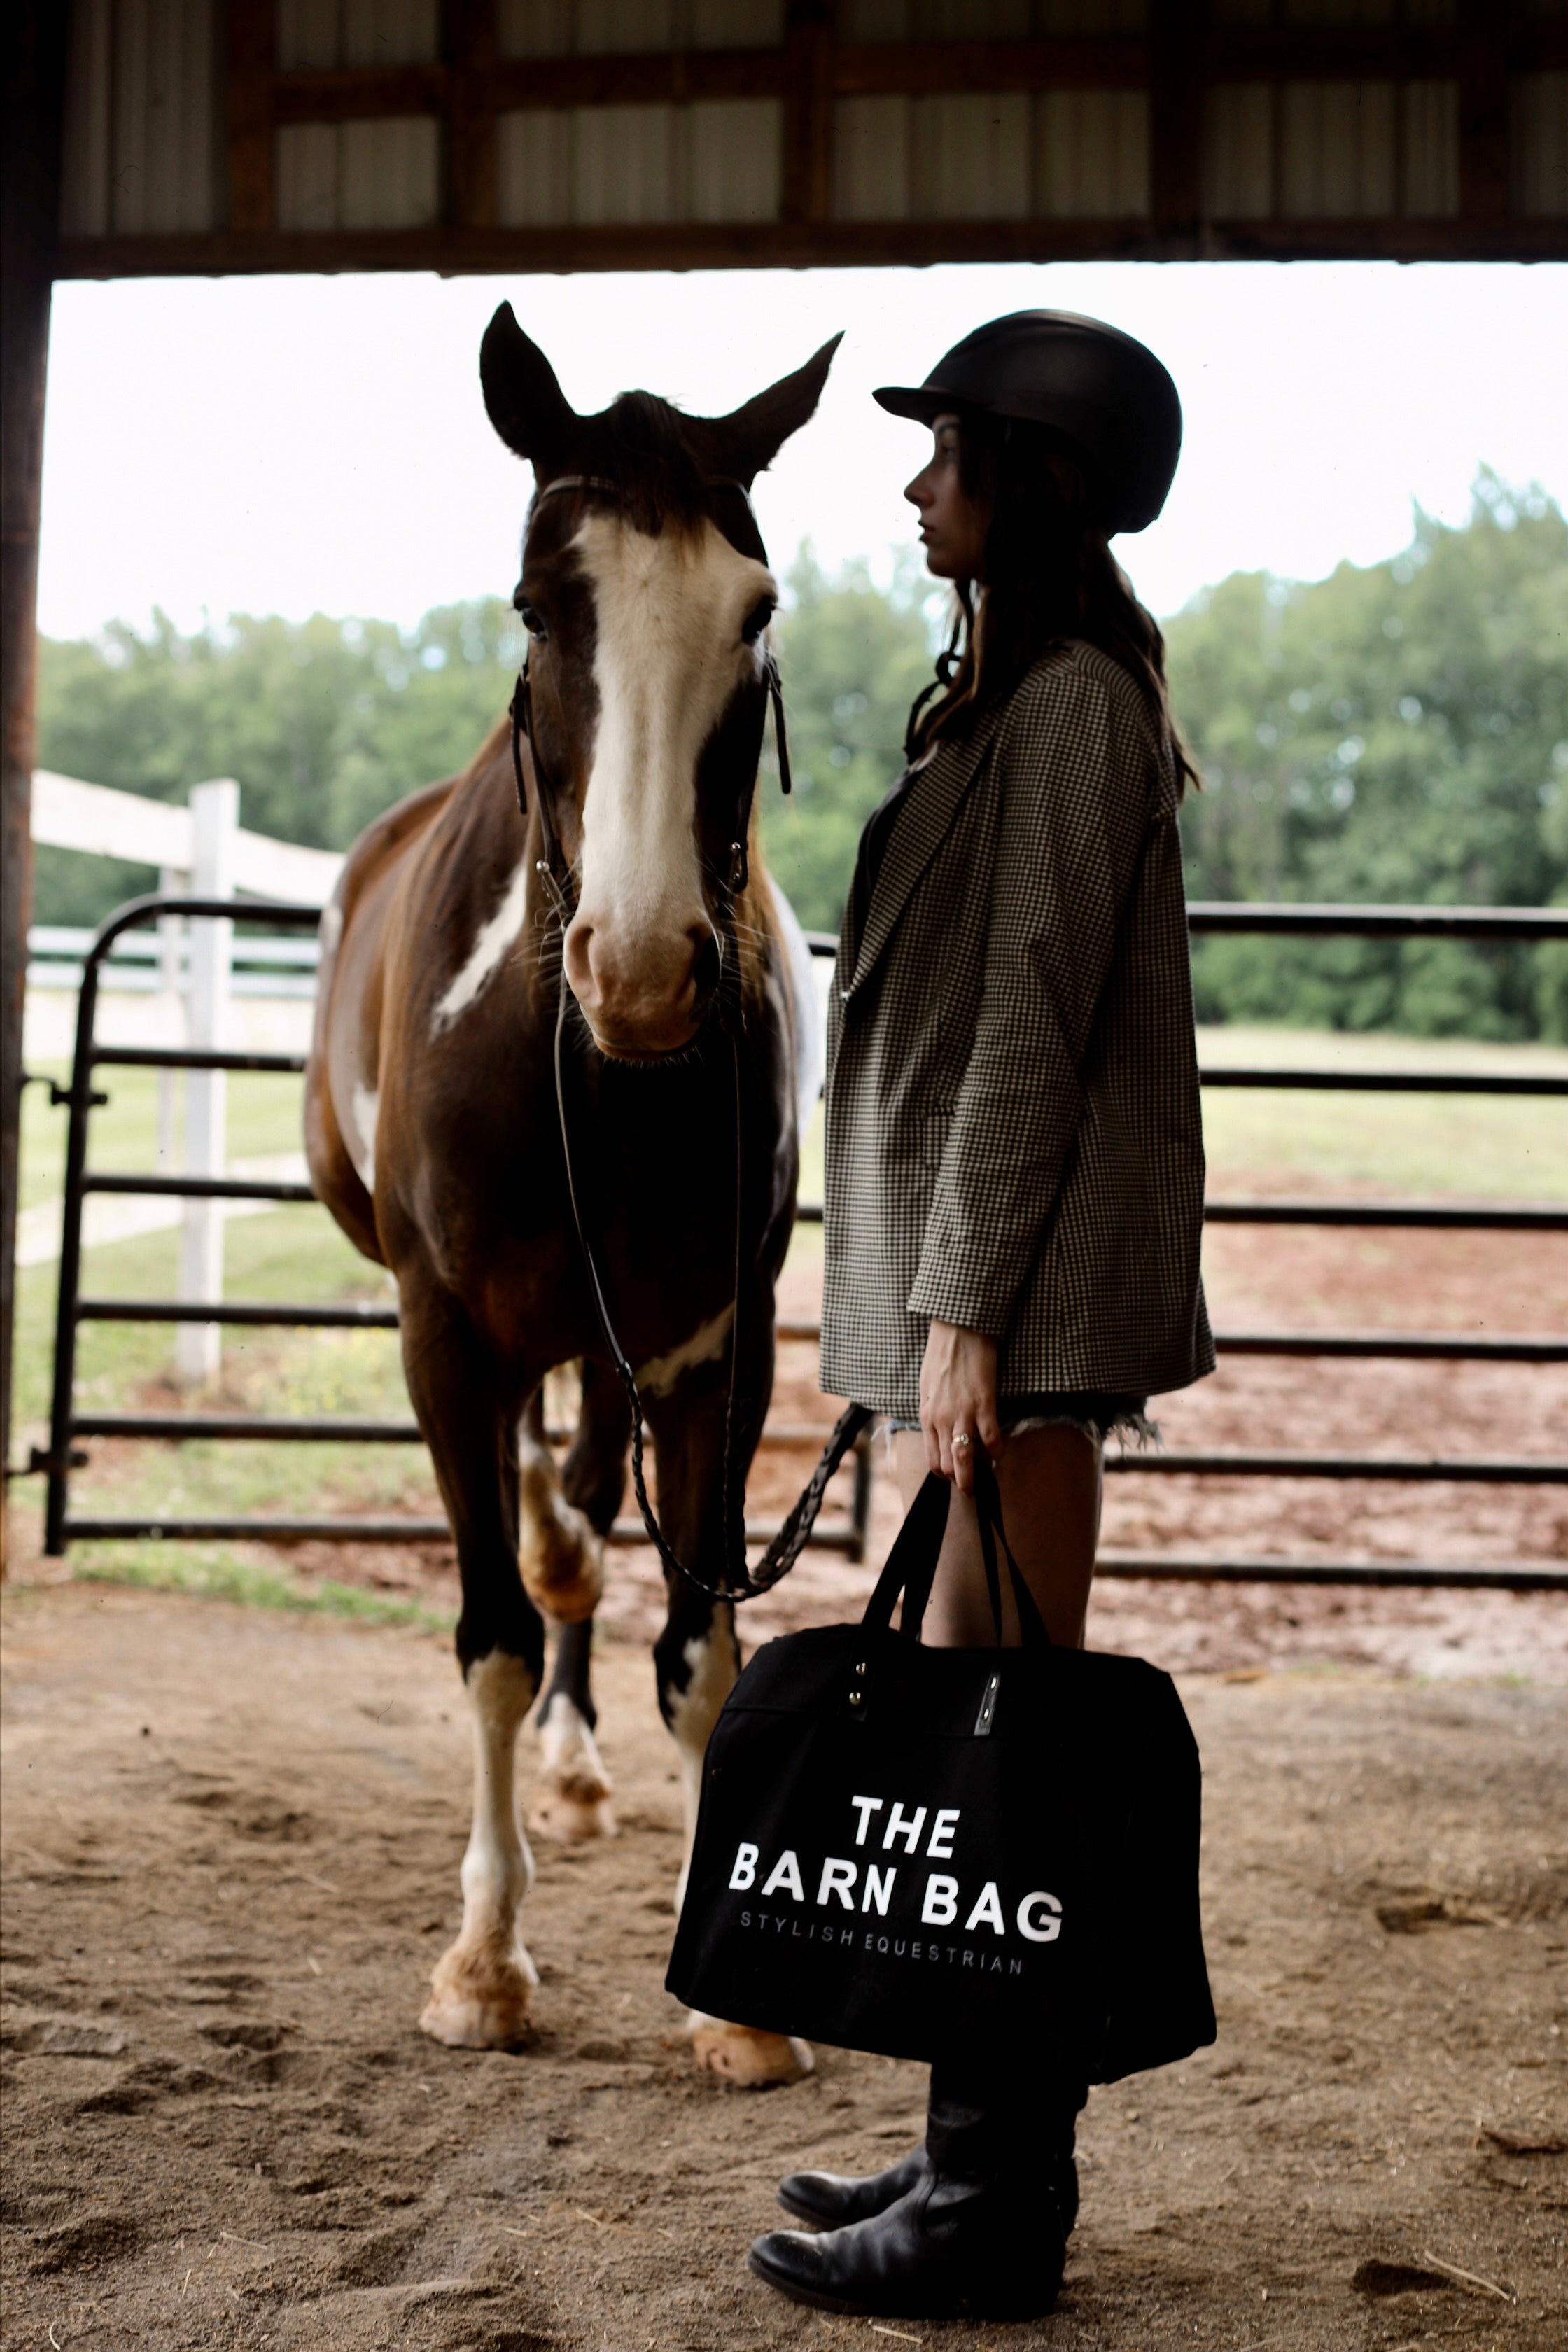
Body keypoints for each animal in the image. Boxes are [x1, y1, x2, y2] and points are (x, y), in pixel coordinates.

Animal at [310, 303, 846, 2088]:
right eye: (544, 606)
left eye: (755, 612)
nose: (646, 970)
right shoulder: (446, 1341)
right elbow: (484, 1634)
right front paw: (485, 1964)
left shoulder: (710, 1351)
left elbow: (700, 1650)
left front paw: (735, 1996)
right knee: (542, 1547)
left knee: (587, 1536)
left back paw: (582, 1760)